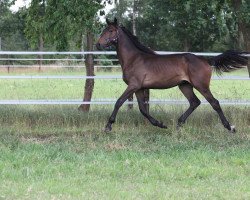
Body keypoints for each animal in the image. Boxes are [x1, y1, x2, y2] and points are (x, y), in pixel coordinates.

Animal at [96, 17, 248, 133]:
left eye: (110, 30)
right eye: (103, 30)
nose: (98, 44)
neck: (133, 59)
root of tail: (205, 59)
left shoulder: (133, 86)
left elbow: (119, 102)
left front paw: (108, 126)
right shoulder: (139, 88)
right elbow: (143, 109)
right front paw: (160, 124)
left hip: (201, 85)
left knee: (214, 103)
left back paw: (230, 127)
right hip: (185, 86)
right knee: (195, 102)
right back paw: (179, 124)